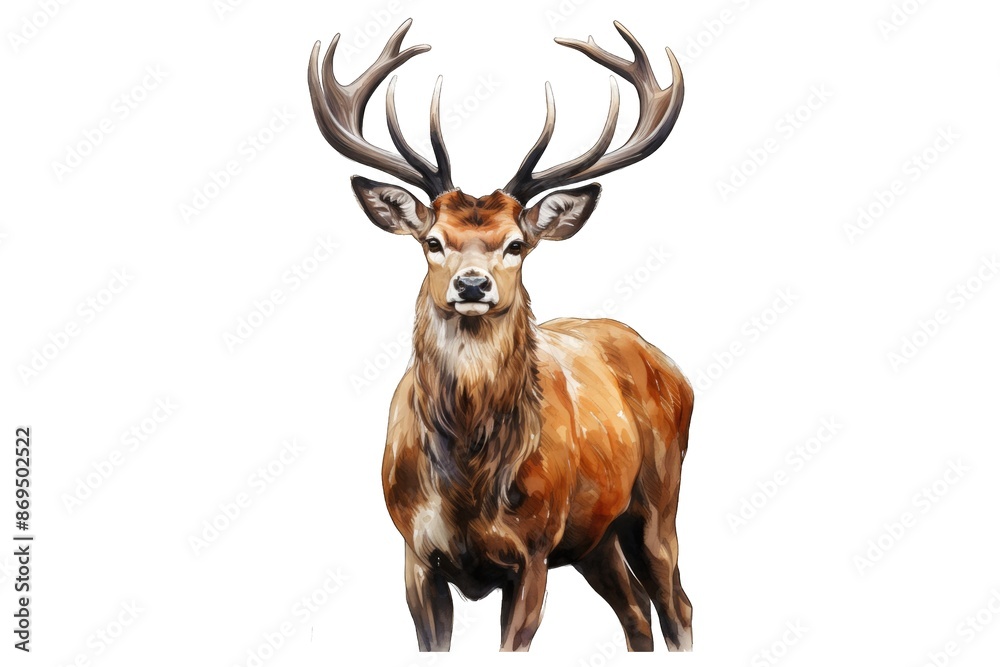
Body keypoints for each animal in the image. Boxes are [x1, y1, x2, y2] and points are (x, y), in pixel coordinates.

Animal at [308, 19, 691, 652]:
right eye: (432, 240)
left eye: (516, 244)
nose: (471, 283)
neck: (468, 485)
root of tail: (674, 369)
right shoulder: (415, 553)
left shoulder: (532, 551)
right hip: (595, 536)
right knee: (635, 613)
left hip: (658, 499)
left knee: (675, 605)